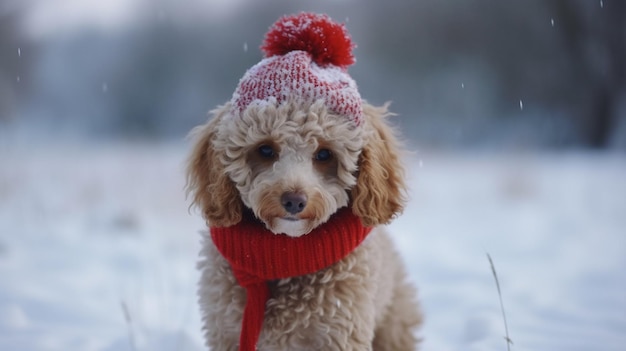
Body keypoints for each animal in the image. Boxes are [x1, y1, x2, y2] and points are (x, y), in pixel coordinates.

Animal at [184, 11, 420, 351]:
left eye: (324, 154)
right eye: (265, 149)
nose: (294, 200)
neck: (286, 254)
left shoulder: (340, 332)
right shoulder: (225, 330)